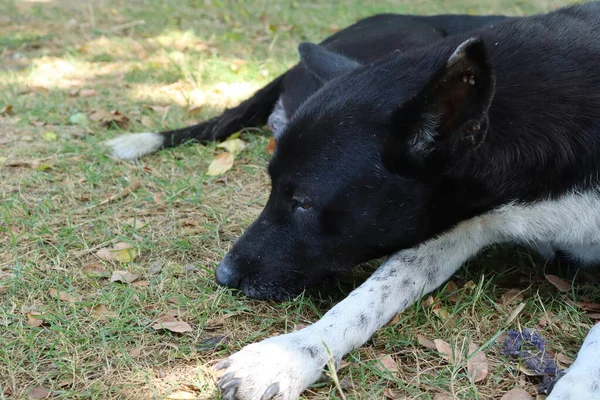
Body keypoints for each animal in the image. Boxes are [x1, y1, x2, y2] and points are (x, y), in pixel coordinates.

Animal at [109, 3, 600, 400]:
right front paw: (285, 357)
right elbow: (365, 300)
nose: (224, 276)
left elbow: (595, 336)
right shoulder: (458, 227)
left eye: (303, 203)